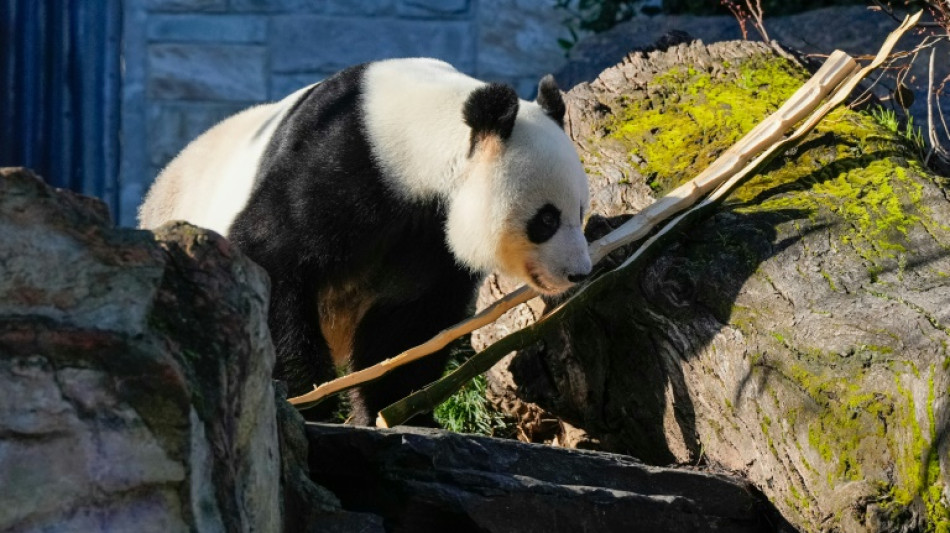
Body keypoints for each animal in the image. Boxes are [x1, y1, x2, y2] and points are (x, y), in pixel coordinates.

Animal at [139, 57, 592, 424]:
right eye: (546, 219)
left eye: (581, 210)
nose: (578, 274)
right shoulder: (338, 161)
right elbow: (272, 257)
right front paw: (308, 400)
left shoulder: (429, 238)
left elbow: (409, 317)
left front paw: (393, 408)